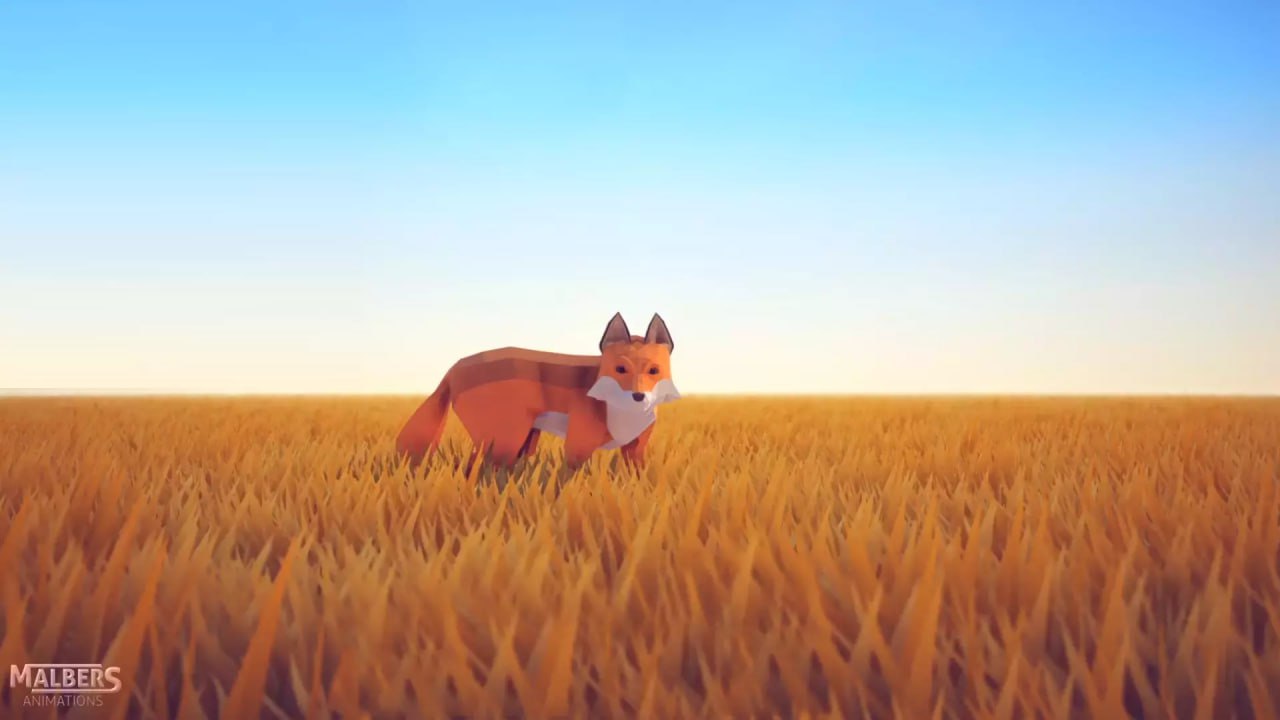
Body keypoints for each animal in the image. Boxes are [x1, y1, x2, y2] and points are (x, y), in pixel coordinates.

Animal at [396, 312, 682, 471]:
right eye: (620, 369)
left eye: (654, 371)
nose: (638, 396)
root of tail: (453, 368)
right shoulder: (577, 447)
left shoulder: (635, 451)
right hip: (504, 440)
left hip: (519, 440)